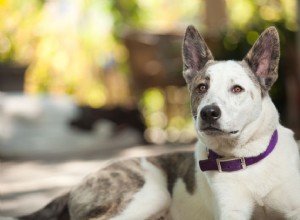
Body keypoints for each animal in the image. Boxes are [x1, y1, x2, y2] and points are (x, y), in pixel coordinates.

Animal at [4, 26, 300, 220]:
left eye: (237, 89)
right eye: (202, 87)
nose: (209, 113)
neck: (248, 158)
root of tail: (78, 184)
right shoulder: (232, 212)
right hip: (150, 195)